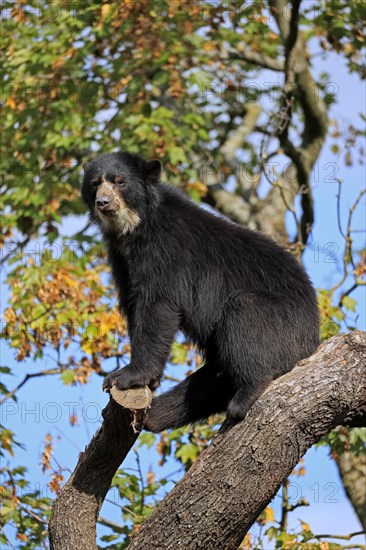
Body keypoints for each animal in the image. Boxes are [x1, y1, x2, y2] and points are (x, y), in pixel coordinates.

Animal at [81, 153, 318, 434]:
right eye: (95, 184)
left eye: (120, 181)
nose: (103, 202)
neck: (134, 229)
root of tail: (314, 338)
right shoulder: (121, 260)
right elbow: (133, 305)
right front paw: (143, 382)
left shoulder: (166, 251)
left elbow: (158, 306)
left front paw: (126, 376)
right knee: (206, 384)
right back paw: (155, 415)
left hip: (283, 325)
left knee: (246, 316)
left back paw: (245, 396)